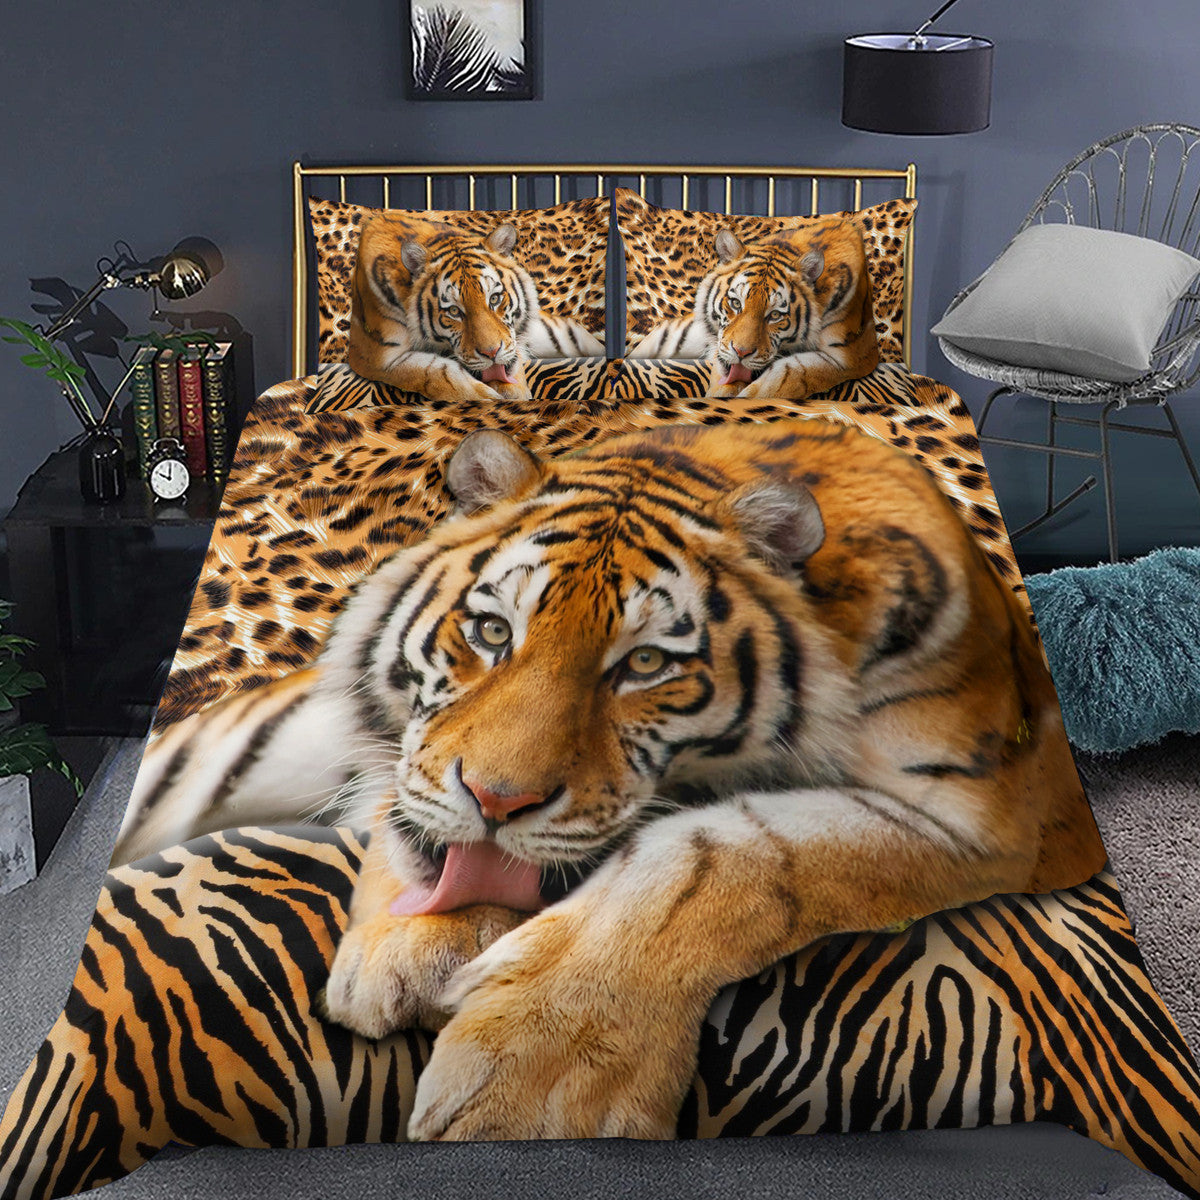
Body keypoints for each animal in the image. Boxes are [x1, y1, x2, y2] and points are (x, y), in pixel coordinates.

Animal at [112, 418, 1105, 1143]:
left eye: (644, 666)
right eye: (492, 632)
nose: (497, 801)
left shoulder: (987, 808)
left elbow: (729, 858)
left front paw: (540, 1082)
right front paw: (414, 941)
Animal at [347, 212, 604, 403]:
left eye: (495, 299)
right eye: (453, 311)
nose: (492, 353)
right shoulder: (378, 356)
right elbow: (437, 373)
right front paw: (489, 396)